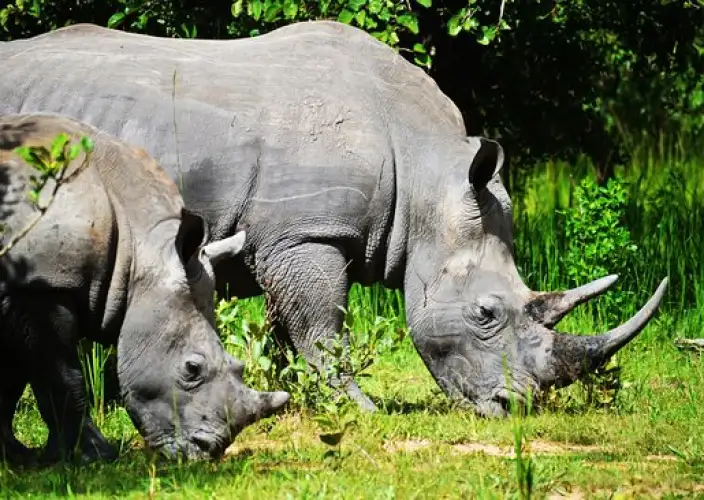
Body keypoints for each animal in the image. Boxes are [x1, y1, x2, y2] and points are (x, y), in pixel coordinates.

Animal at [0, 21, 667, 416]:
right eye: (486, 314)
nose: (514, 409)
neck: (428, 176)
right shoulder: (306, 235)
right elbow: (323, 327)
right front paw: (358, 409)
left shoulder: (282, 241)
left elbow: (288, 328)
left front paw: (296, 398)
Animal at [0, 113, 289, 465]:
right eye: (192, 369)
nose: (207, 452)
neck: (140, 251)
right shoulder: (40, 286)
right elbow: (62, 377)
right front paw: (96, 457)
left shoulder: (18, 289)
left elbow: (13, 377)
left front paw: (18, 457)